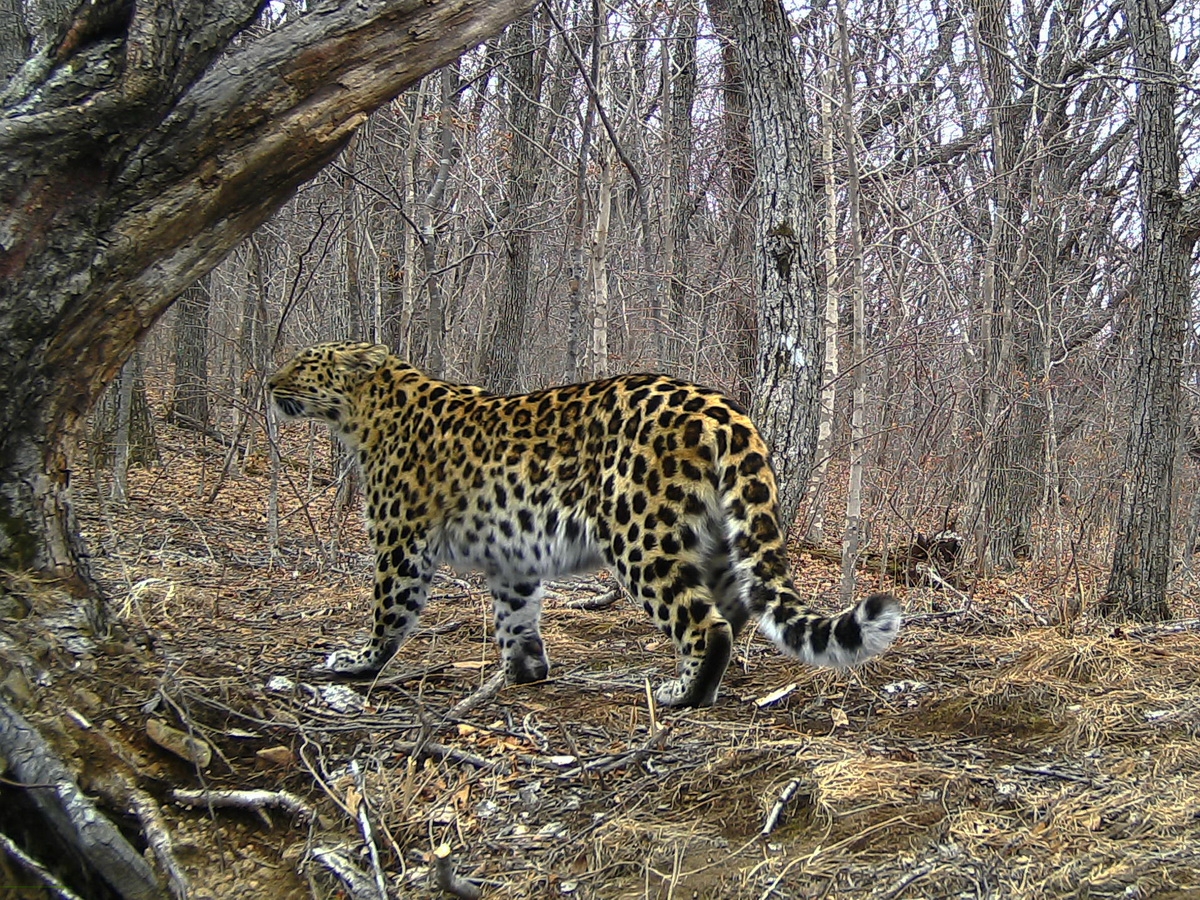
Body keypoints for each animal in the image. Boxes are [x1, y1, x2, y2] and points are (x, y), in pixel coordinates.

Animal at [265, 340, 902, 710]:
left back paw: (682, 695)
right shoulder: (513, 561)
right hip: (714, 537)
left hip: (637, 532)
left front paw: (358, 663)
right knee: (735, 607)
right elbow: (515, 617)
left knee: (707, 623)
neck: (366, 412)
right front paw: (525, 672)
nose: (267, 383)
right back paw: (699, 682)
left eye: (301, 364)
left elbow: (388, 612)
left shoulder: (401, 543)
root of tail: (721, 406)